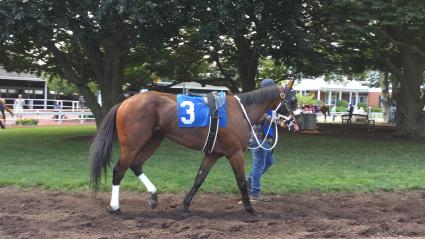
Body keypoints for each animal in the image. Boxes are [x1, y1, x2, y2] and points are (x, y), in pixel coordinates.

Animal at [89, 81, 296, 216]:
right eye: (293, 100)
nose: (296, 122)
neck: (240, 111)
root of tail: (125, 102)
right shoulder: (235, 153)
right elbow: (241, 181)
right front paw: (250, 209)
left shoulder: (213, 154)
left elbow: (199, 179)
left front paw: (185, 206)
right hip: (132, 145)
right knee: (118, 171)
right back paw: (115, 208)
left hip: (153, 140)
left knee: (136, 165)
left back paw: (154, 196)